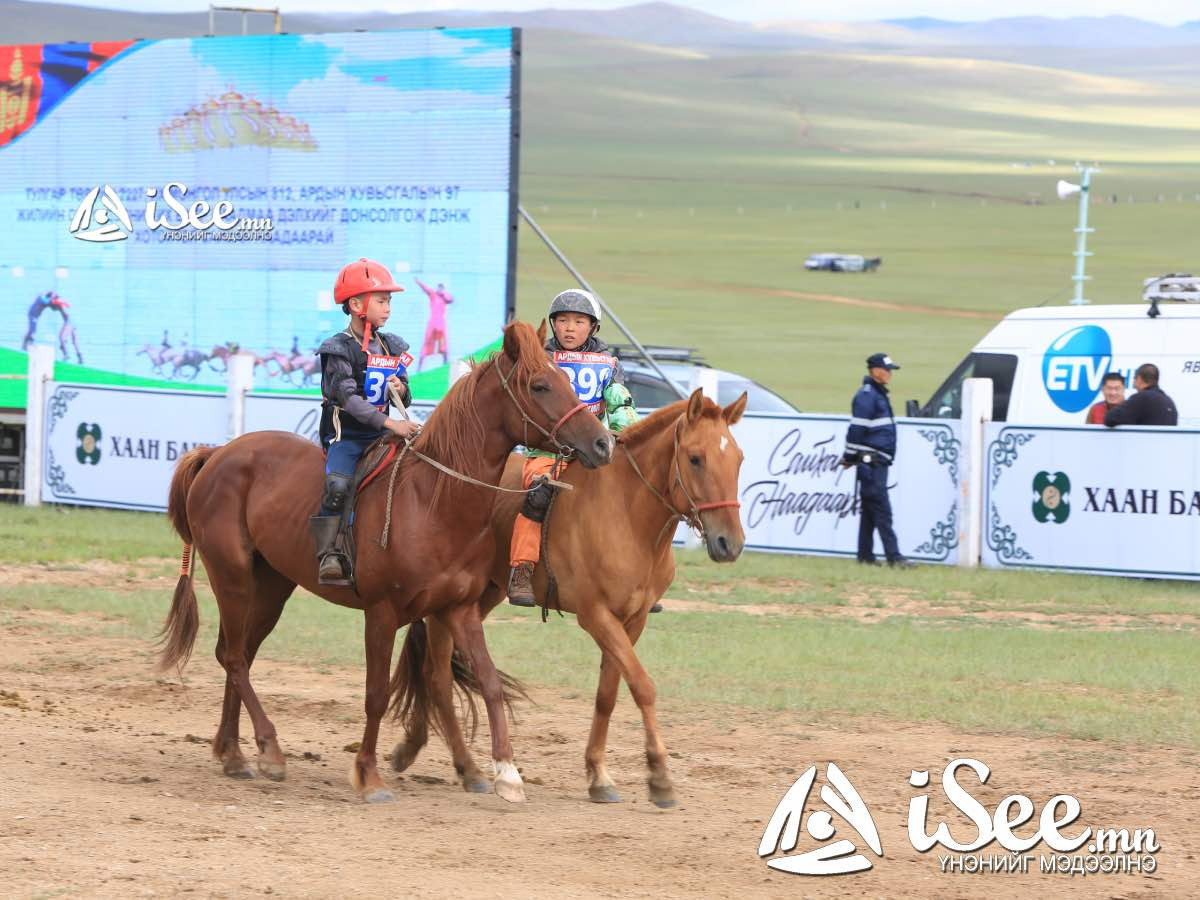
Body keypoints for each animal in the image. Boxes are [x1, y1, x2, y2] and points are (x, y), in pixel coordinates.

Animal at [156, 321, 614, 801]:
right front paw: (369, 775)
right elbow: (376, 693)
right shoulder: (381, 612)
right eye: (540, 385)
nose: (603, 443)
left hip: (271, 588)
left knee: (236, 653)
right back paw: (270, 749)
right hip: (232, 578)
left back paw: (234, 754)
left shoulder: (459, 609)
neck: (433, 499)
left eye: (566, 379)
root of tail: (216, 454)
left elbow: (488, 682)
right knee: (235, 658)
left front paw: (506, 773)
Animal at [388, 391, 744, 806]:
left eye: (738, 459)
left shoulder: (633, 620)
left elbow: (608, 693)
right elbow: (642, 685)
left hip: (484, 594)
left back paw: (413, 746)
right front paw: (659, 776)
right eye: (695, 458)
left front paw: (599, 775)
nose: (730, 544)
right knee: (437, 673)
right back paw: (456, 763)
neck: (627, 514)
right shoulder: (596, 616)